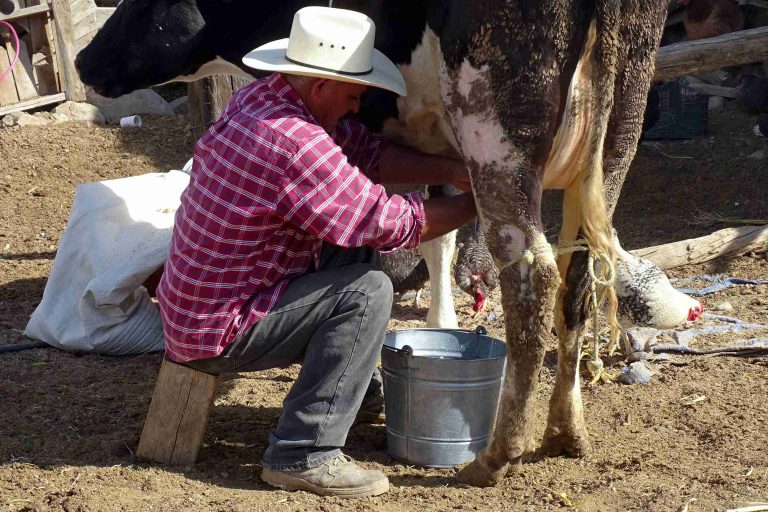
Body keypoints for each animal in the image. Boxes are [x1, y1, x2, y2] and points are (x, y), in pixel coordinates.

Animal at [78, 0, 704, 488]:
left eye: (140, 1)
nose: (84, 61)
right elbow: (434, 237)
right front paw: (437, 327)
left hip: (497, 125)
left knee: (535, 276)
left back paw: (495, 457)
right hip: (619, 128)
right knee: (581, 272)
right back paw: (565, 431)